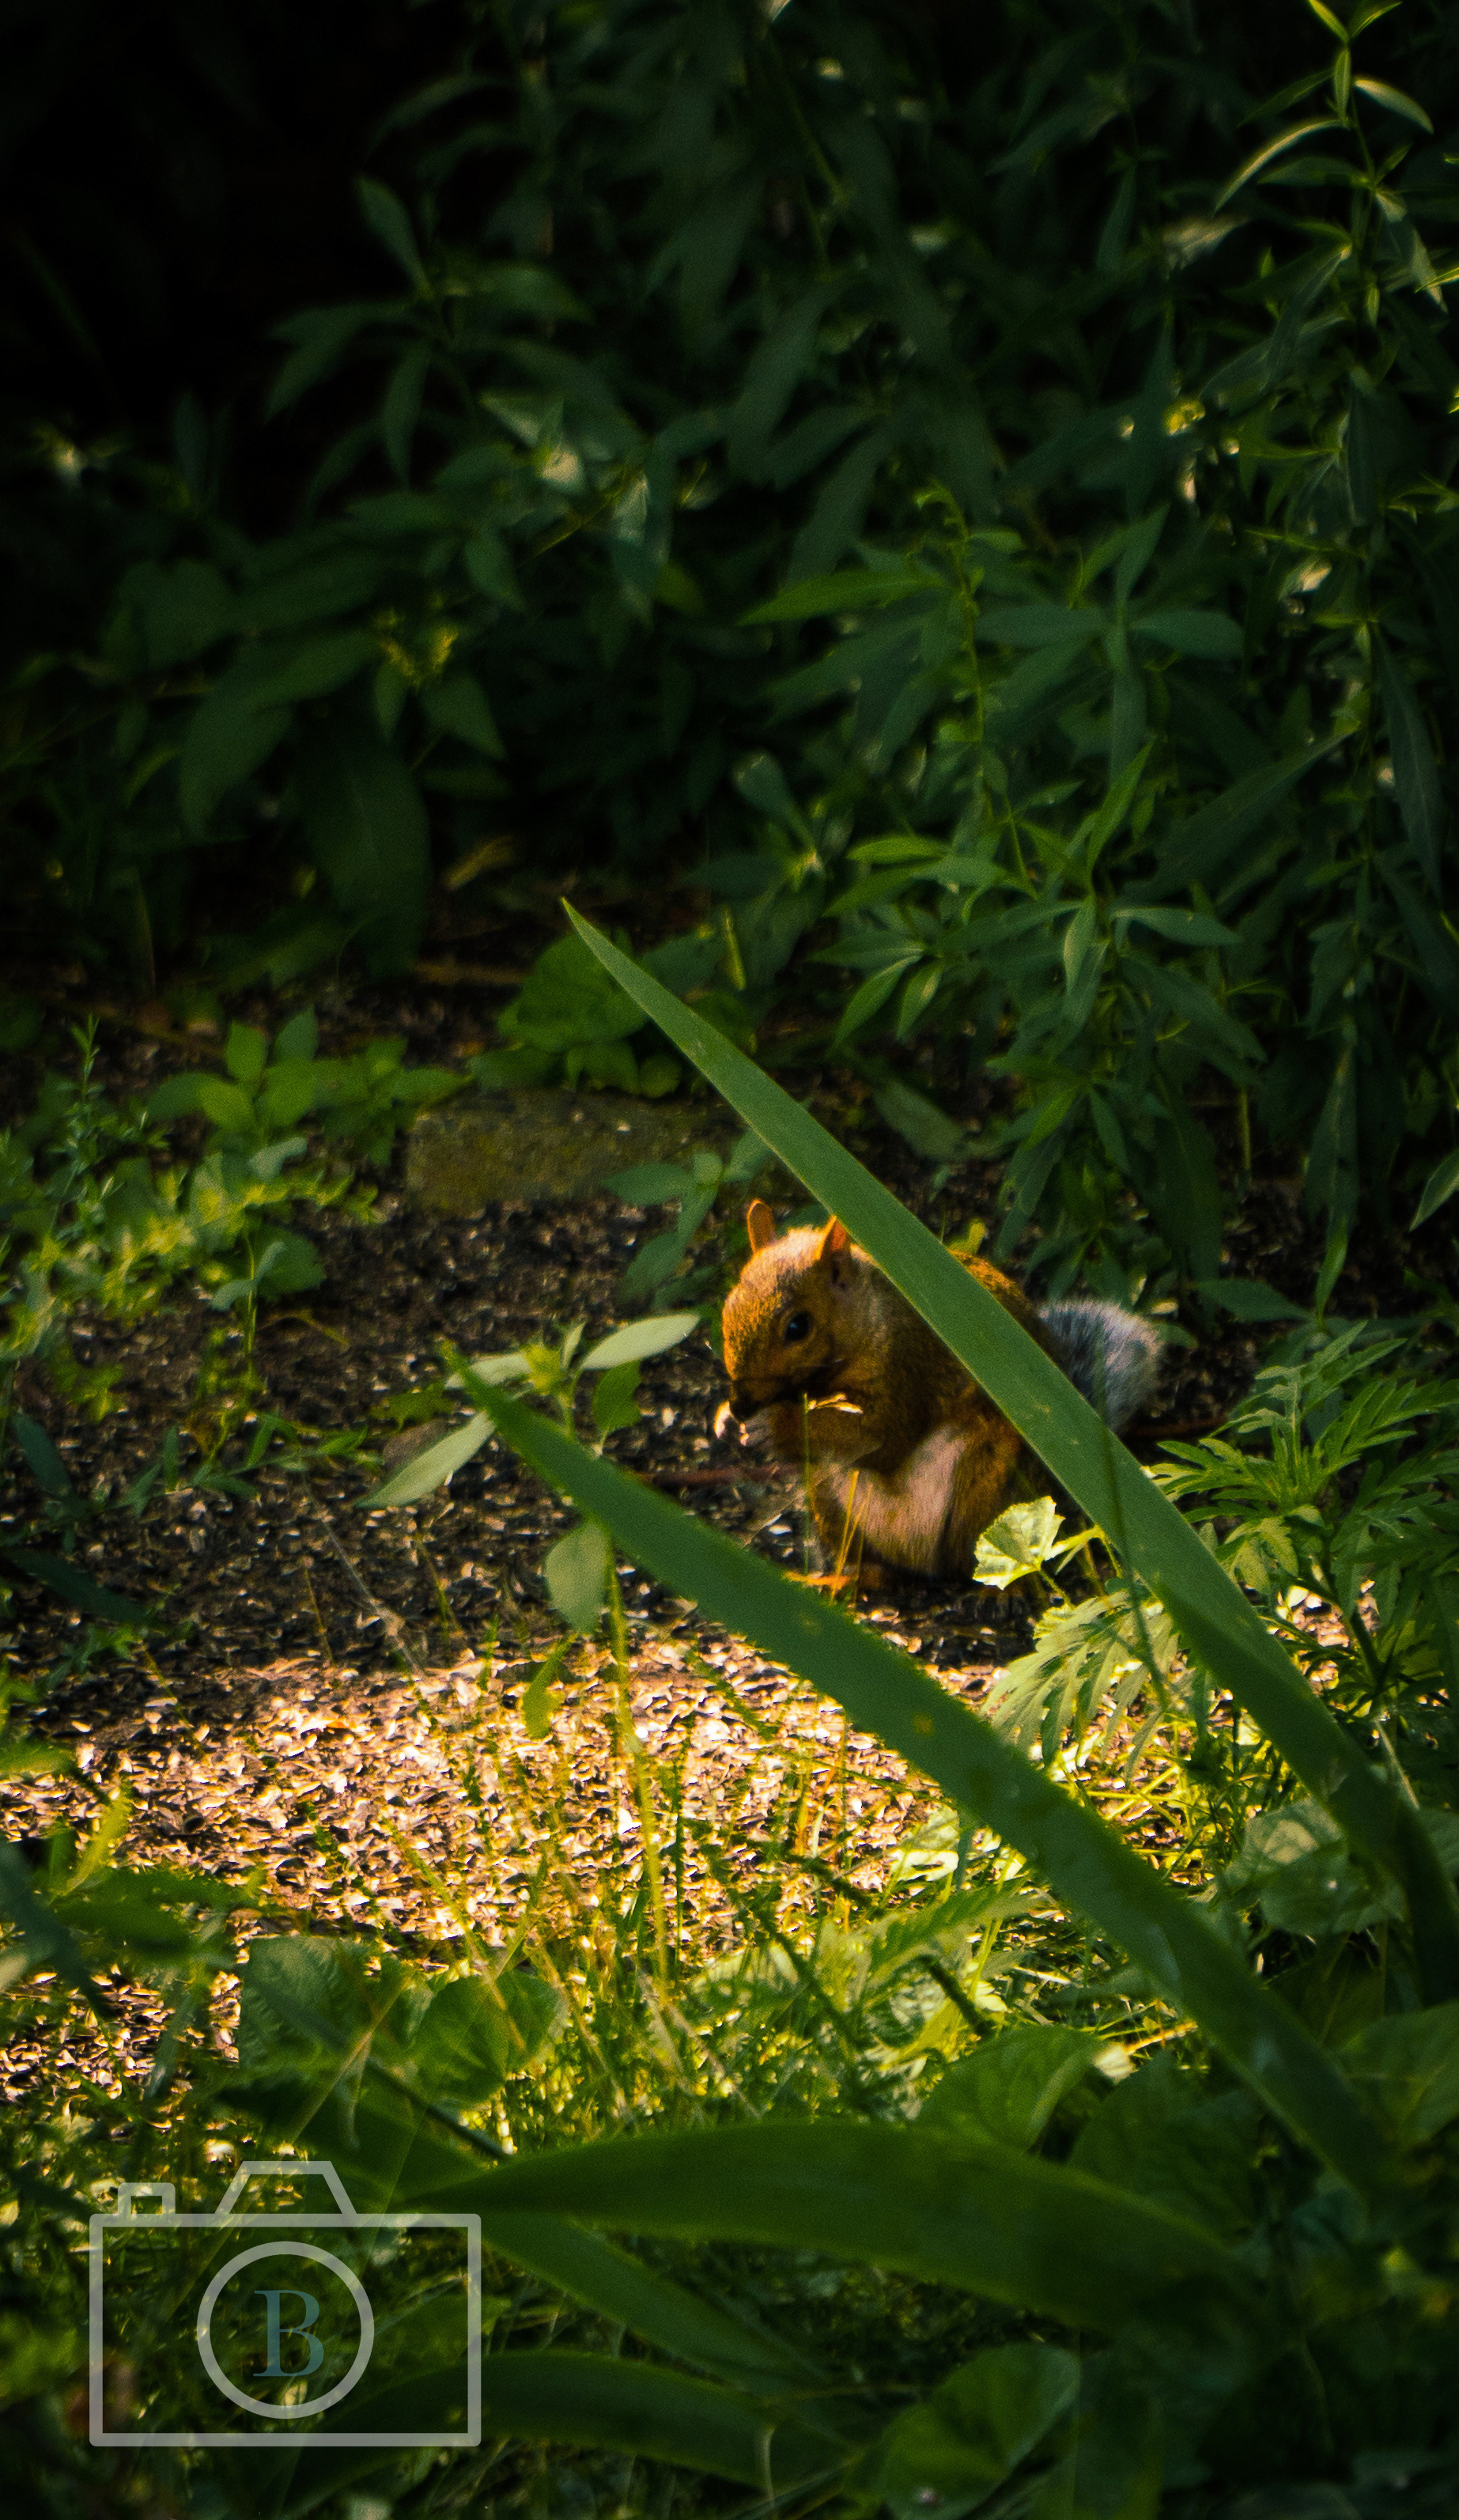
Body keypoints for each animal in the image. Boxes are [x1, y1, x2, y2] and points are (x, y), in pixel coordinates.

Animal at [720, 1201, 1160, 1586]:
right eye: (728, 1305)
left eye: (798, 1327)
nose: (742, 1404)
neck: (870, 1317)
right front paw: (724, 1419)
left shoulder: (909, 1364)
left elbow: (887, 1438)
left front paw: (777, 1427)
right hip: (830, 1498)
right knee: (882, 1571)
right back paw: (841, 1581)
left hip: (988, 1489)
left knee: (987, 1561)